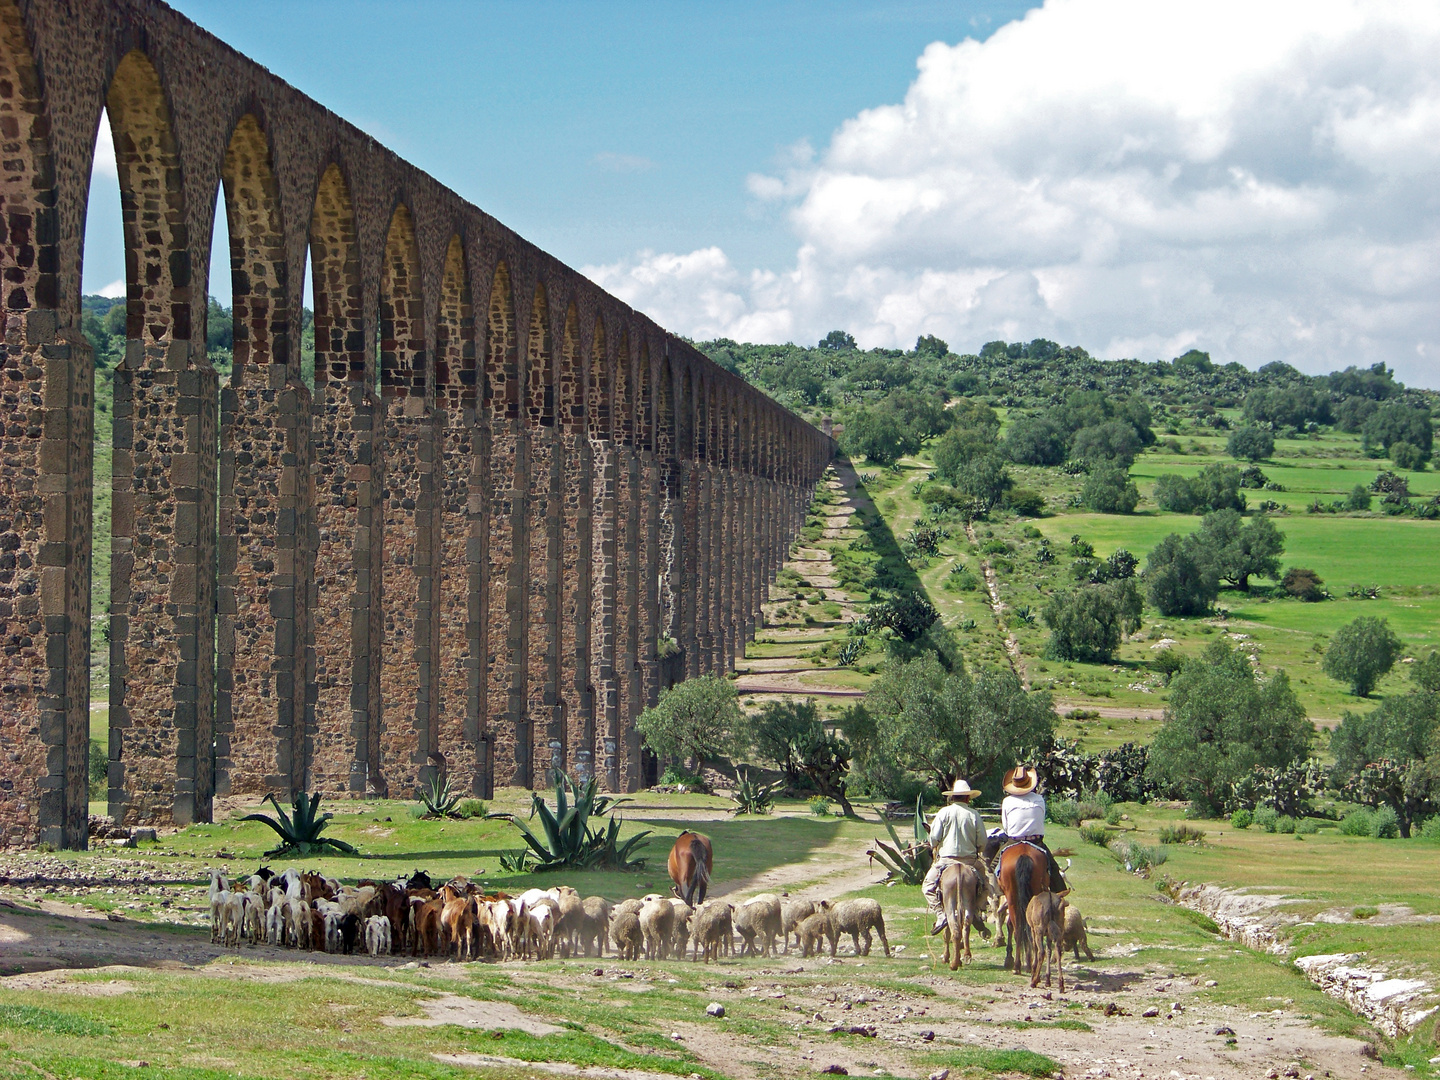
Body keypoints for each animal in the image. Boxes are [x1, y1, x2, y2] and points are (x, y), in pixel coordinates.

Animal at [996, 840, 1054, 979]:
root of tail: (1024, 854)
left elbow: (1011, 926)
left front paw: (1009, 958)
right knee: (1030, 931)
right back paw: (1030, 965)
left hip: (1012, 898)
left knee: (1018, 930)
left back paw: (1017, 966)